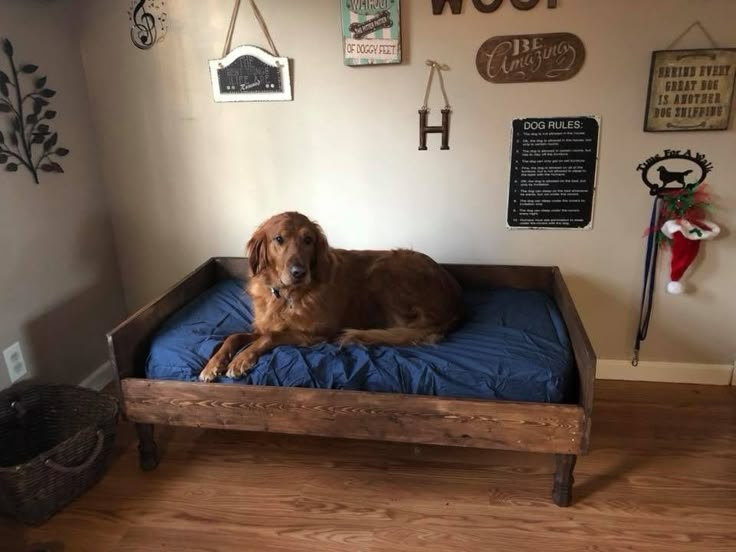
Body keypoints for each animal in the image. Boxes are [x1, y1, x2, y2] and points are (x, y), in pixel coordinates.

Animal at [198, 212, 462, 384]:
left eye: (308, 240)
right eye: (278, 239)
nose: (299, 272)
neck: (287, 295)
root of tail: (455, 299)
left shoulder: (316, 333)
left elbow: (271, 336)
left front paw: (241, 359)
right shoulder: (265, 325)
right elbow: (234, 336)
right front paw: (214, 364)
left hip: (384, 268)